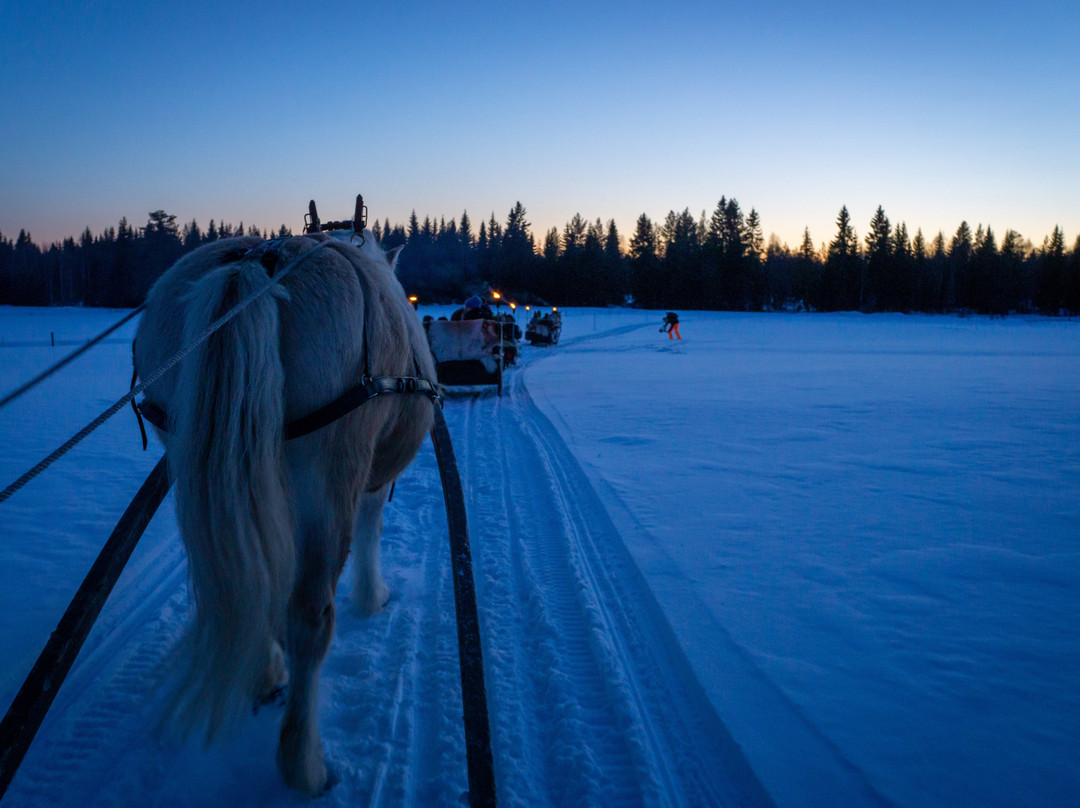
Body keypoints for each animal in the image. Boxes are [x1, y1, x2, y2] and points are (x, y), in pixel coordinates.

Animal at [133, 229, 434, 795]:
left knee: (252, 571)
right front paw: (374, 596)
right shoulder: (368, 478)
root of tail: (257, 264)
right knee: (310, 616)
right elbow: (371, 531)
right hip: (328, 476)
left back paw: (264, 672)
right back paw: (305, 764)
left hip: (196, 454)